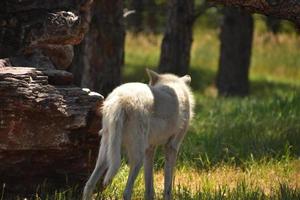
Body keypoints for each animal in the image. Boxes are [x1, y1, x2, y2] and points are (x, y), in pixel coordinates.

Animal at [82, 69, 195, 200]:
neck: (174, 85)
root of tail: (120, 100)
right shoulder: (171, 147)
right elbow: (167, 187)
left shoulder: (150, 149)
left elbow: (149, 188)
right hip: (137, 159)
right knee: (126, 192)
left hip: (106, 155)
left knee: (88, 185)